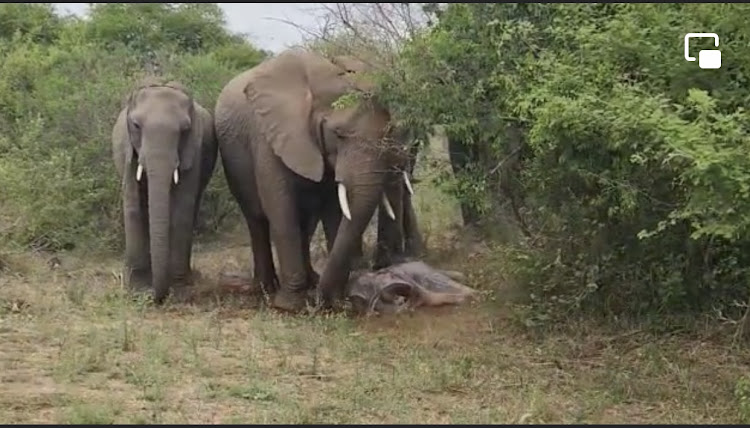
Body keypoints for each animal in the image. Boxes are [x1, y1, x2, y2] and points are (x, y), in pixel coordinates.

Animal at [111, 77, 219, 304]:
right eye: (136, 125)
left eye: (185, 130)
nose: (156, 298)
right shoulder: (129, 150)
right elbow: (133, 207)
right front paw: (137, 289)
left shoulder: (193, 150)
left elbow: (181, 208)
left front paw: (177, 289)